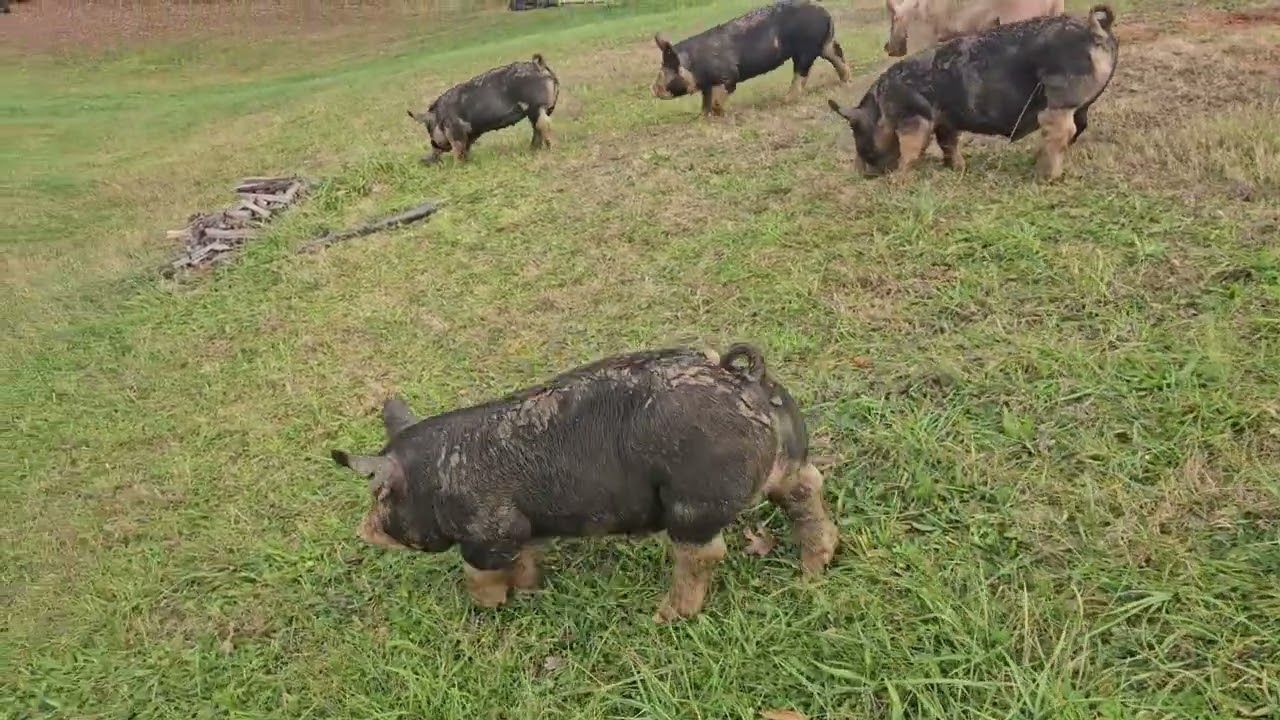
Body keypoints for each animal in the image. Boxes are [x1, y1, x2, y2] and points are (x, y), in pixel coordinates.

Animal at [330, 344, 839, 622]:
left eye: (379, 495)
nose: (362, 530)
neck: (435, 479)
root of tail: (740, 375)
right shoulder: (522, 532)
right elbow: (526, 562)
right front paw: (530, 593)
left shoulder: (490, 534)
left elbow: (480, 573)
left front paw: (488, 608)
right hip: (787, 461)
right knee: (806, 488)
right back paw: (815, 569)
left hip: (693, 500)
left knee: (704, 552)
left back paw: (666, 616)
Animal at [407, 53, 559, 164]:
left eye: (429, 130)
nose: (423, 159)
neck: (439, 117)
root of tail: (538, 65)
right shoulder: (471, 133)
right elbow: (466, 148)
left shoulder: (455, 130)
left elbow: (458, 149)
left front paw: (457, 166)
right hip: (539, 110)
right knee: (537, 128)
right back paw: (533, 149)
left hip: (536, 106)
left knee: (543, 126)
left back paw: (549, 149)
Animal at [651, 0, 852, 117]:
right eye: (662, 68)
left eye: (666, 71)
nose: (652, 89)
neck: (693, 65)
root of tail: (825, 12)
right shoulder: (707, 85)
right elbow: (706, 101)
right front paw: (702, 116)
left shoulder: (728, 75)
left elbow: (719, 97)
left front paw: (720, 112)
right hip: (825, 43)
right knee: (837, 55)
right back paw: (846, 81)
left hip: (805, 49)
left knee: (801, 73)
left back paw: (785, 100)